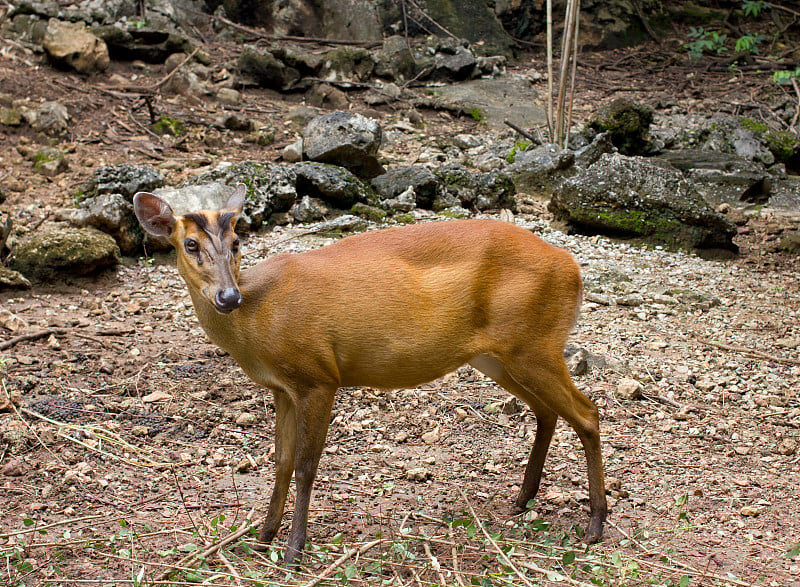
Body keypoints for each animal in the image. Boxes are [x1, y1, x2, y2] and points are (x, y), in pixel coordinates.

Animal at [133, 184, 608, 564]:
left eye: (235, 242)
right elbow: (281, 461)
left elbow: (305, 465)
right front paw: (262, 538)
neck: (258, 319)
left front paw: (294, 550)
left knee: (588, 413)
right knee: (548, 413)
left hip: (535, 345)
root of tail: (572, 265)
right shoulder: (282, 387)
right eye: (189, 244)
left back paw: (595, 524)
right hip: (500, 355)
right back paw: (522, 500)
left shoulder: (318, 375)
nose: (228, 297)